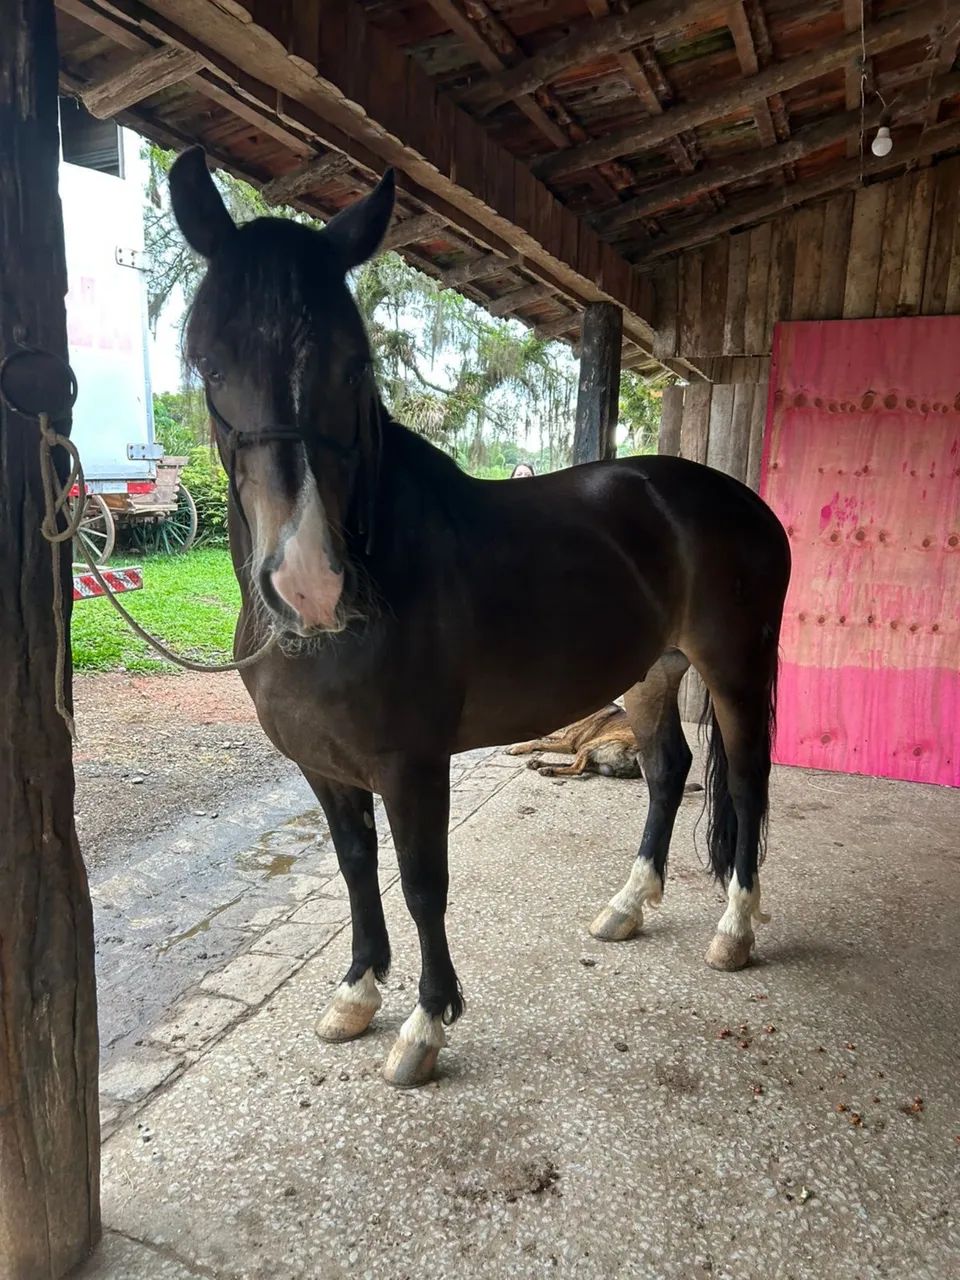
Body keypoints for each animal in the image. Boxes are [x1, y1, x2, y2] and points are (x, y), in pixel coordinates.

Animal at [169, 148, 791, 1090]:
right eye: (206, 362)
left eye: (354, 365)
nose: (310, 585)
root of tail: (738, 501)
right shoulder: (324, 769)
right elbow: (356, 870)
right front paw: (356, 993)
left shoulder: (413, 766)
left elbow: (423, 883)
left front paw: (425, 1027)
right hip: (653, 671)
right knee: (667, 771)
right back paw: (626, 906)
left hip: (735, 669)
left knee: (747, 783)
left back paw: (734, 931)